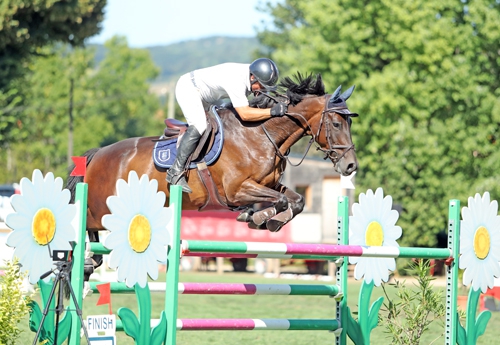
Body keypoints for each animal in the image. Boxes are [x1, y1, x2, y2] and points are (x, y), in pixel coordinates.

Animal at [67, 73, 360, 268]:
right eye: (336, 123)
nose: (350, 166)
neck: (260, 135)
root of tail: (97, 154)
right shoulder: (236, 190)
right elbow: (280, 200)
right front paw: (259, 217)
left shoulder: (269, 184)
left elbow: (296, 201)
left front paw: (265, 219)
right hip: (104, 207)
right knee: (87, 225)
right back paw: (88, 259)